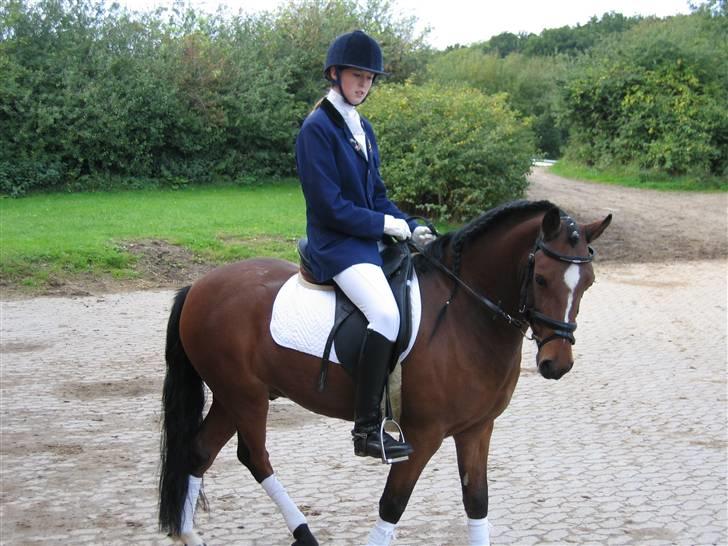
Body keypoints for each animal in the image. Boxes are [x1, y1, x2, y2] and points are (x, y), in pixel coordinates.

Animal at [158, 199, 611, 546]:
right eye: (542, 278)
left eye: (588, 282)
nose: (557, 364)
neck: (465, 314)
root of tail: (199, 286)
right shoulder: (423, 436)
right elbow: (393, 505)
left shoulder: (477, 429)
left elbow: (477, 501)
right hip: (245, 396)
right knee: (254, 457)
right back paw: (304, 533)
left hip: (231, 395)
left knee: (199, 452)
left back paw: (190, 534)